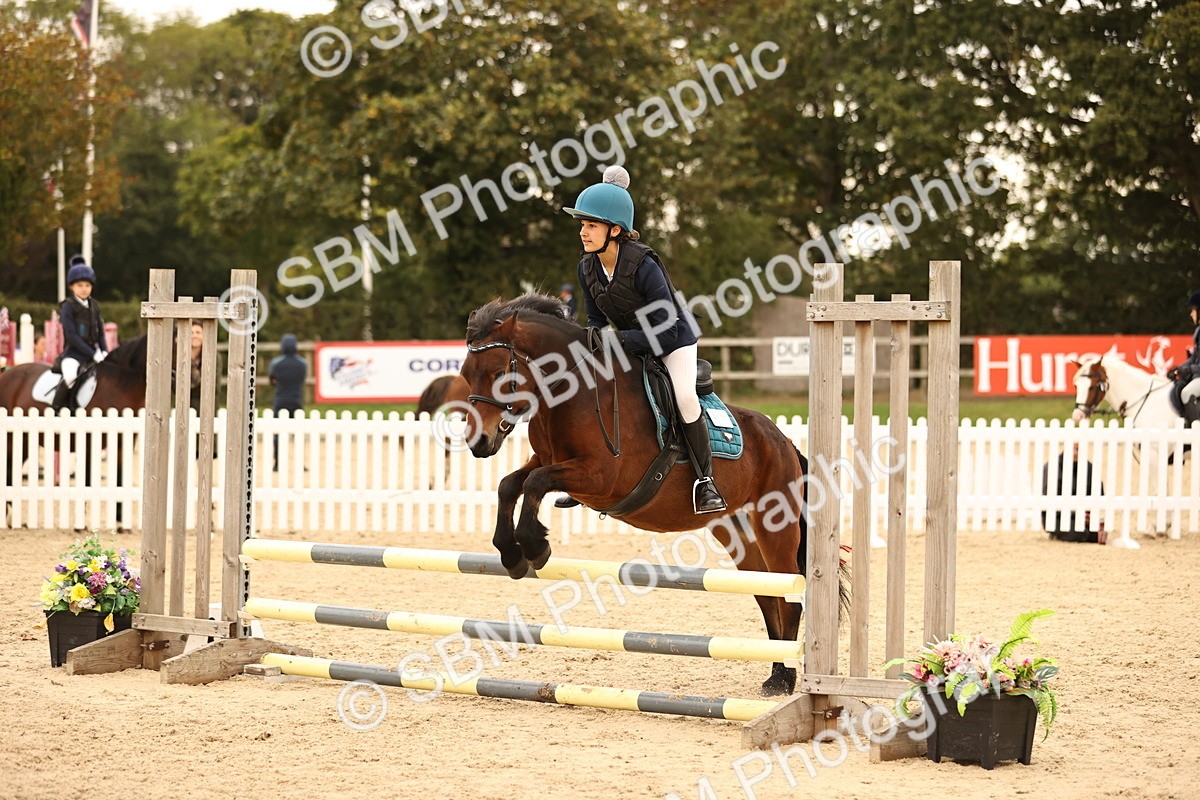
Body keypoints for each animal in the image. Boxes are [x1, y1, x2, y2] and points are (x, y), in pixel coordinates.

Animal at [460, 294, 834, 696]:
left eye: (499, 375)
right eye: (466, 375)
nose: (478, 443)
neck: (571, 393)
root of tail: (784, 441)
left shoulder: (601, 476)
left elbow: (534, 483)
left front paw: (534, 546)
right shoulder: (548, 461)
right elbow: (511, 484)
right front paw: (511, 553)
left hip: (774, 527)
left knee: (789, 601)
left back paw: (785, 680)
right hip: (737, 531)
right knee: (768, 597)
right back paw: (776, 674)